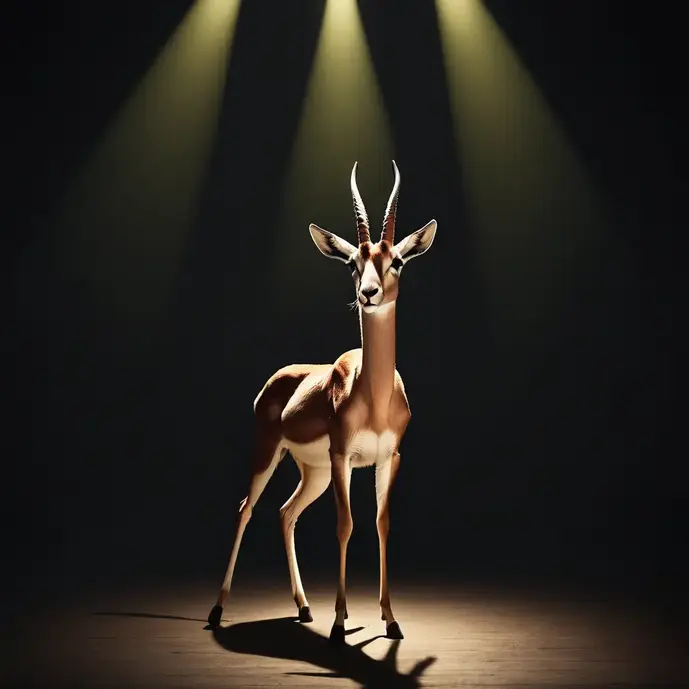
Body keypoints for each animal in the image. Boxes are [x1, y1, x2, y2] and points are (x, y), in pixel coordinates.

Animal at [207, 161, 437, 644]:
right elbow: (345, 525)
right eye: (353, 262)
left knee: (284, 513)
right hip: (272, 453)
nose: (369, 293)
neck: (374, 397)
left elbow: (382, 523)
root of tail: (276, 379)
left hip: (311, 471)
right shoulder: (341, 455)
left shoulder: (389, 457)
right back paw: (218, 610)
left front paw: (390, 620)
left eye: (397, 260)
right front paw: (339, 622)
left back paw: (304, 607)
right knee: (246, 508)